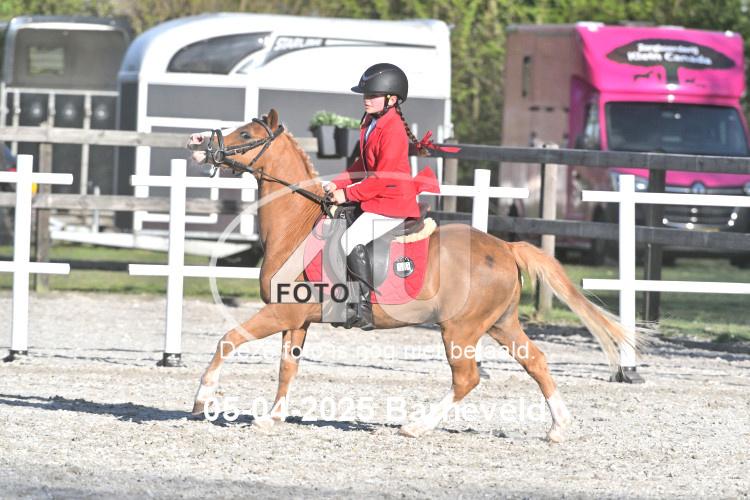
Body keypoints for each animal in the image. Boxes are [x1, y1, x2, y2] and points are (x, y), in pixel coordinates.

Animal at [186, 109, 637, 442]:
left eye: (246, 132)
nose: (199, 144)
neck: (298, 224)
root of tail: (506, 248)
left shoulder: (281, 314)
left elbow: (228, 340)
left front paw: (201, 400)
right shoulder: (296, 319)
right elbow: (287, 369)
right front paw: (272, 418)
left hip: (460, 329)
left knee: (467, 379)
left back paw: (417, 426)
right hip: (502, 324)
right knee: (537, 362)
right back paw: (559, 428)